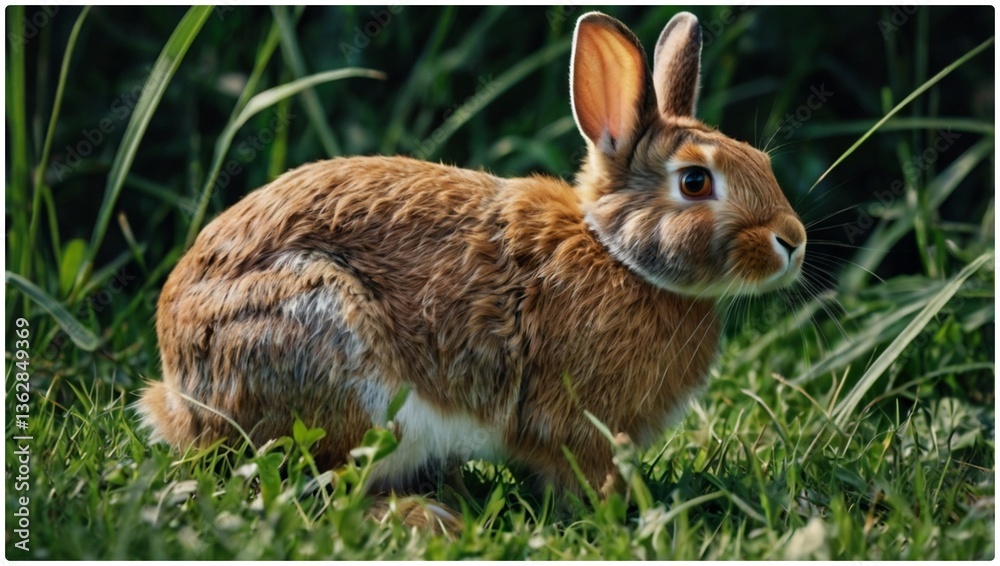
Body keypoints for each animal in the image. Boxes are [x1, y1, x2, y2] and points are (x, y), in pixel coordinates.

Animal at [138, 10, 806, 527]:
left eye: (761, 160)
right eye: (695, 182)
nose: (793, 242)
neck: (617, 254)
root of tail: (179, 392)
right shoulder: (580, 426)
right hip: (344, 367)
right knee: (318, 489)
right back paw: (425, 519)